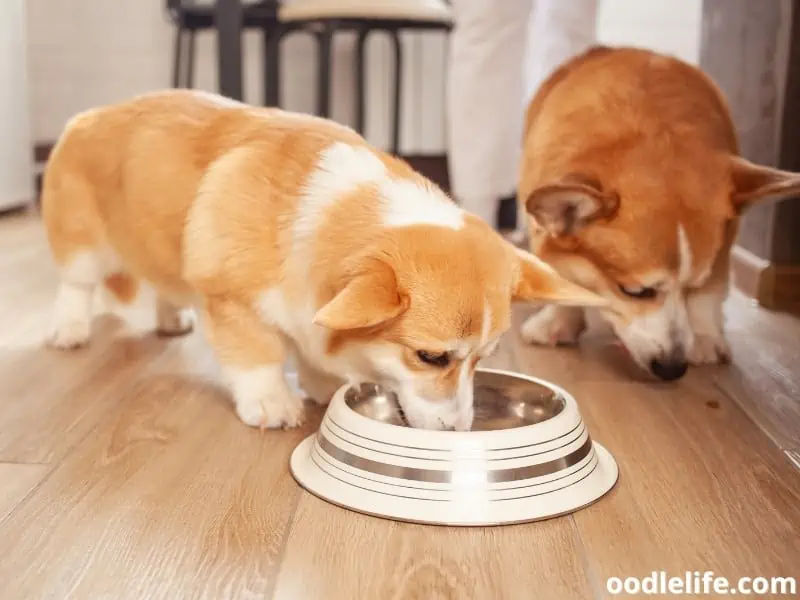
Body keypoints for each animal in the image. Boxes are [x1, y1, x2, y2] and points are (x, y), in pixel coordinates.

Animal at [42, 89, 608, 428]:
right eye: (430, 357)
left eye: (484, 359)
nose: (458, 429)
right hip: (83, 245)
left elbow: (311, 350)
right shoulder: (232, 299)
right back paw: (69, 329)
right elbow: (259, 357)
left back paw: (170, 319)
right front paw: (273, 403)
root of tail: (91, 114)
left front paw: (320, 386)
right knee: (74, 286)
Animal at [520, 45, 800, 380]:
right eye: (634, 292)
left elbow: (712, 287)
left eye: (691, 287)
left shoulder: (724, 242)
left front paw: (704, 337)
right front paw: (558, 321)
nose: (673, 369)